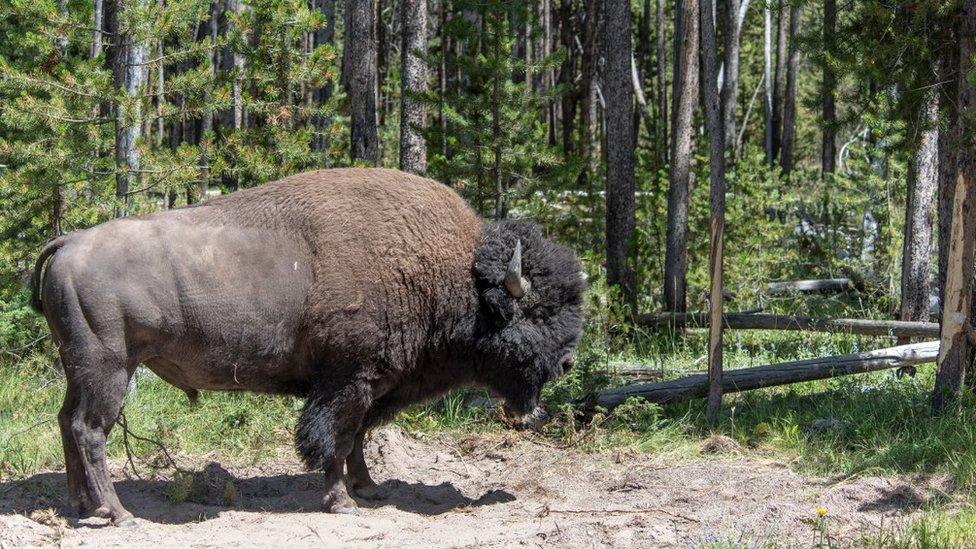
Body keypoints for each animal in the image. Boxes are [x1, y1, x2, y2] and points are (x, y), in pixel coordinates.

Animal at [30, 166, 584, 524]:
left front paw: (368, 489)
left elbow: (357, 439)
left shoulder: (369, 385)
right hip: (110, 369)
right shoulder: (346, 381)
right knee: (90, 430)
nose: (566, 362)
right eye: (535, 313)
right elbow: (334, 440)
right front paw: (342, 501)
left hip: (79, 368)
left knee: (65, 420)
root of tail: (69, 242)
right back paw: (118, 513)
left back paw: (81, 506)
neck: (453, 275)